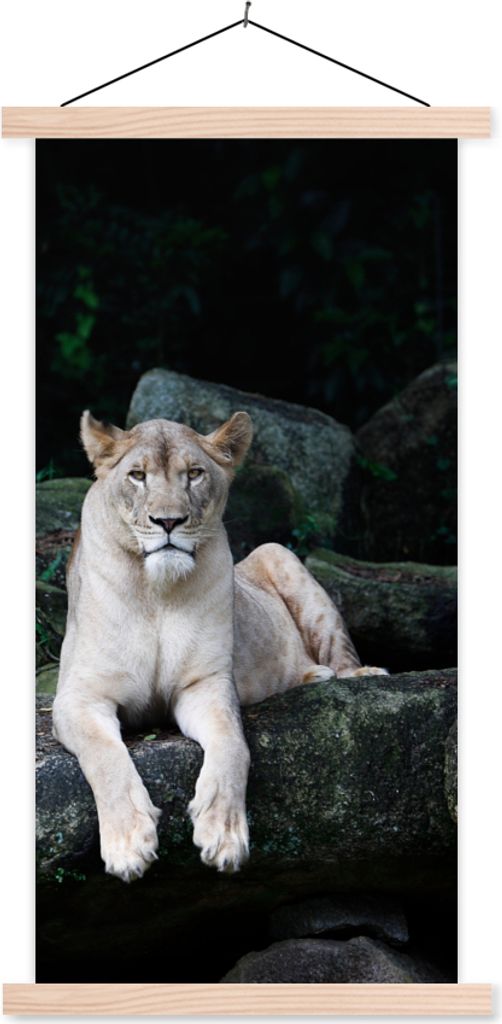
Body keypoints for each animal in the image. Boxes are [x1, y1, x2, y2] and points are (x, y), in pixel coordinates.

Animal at [53, 410, 386, 883]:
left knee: (340, 653)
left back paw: (350, 674)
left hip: (278, 554)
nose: (168, 522)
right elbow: (105, 757)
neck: (157, 593)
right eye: (138, 475)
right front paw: (129, 845)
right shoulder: (78, 698)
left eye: (194, 474)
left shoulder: (205, 686)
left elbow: (233, 746)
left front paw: (224, 835)